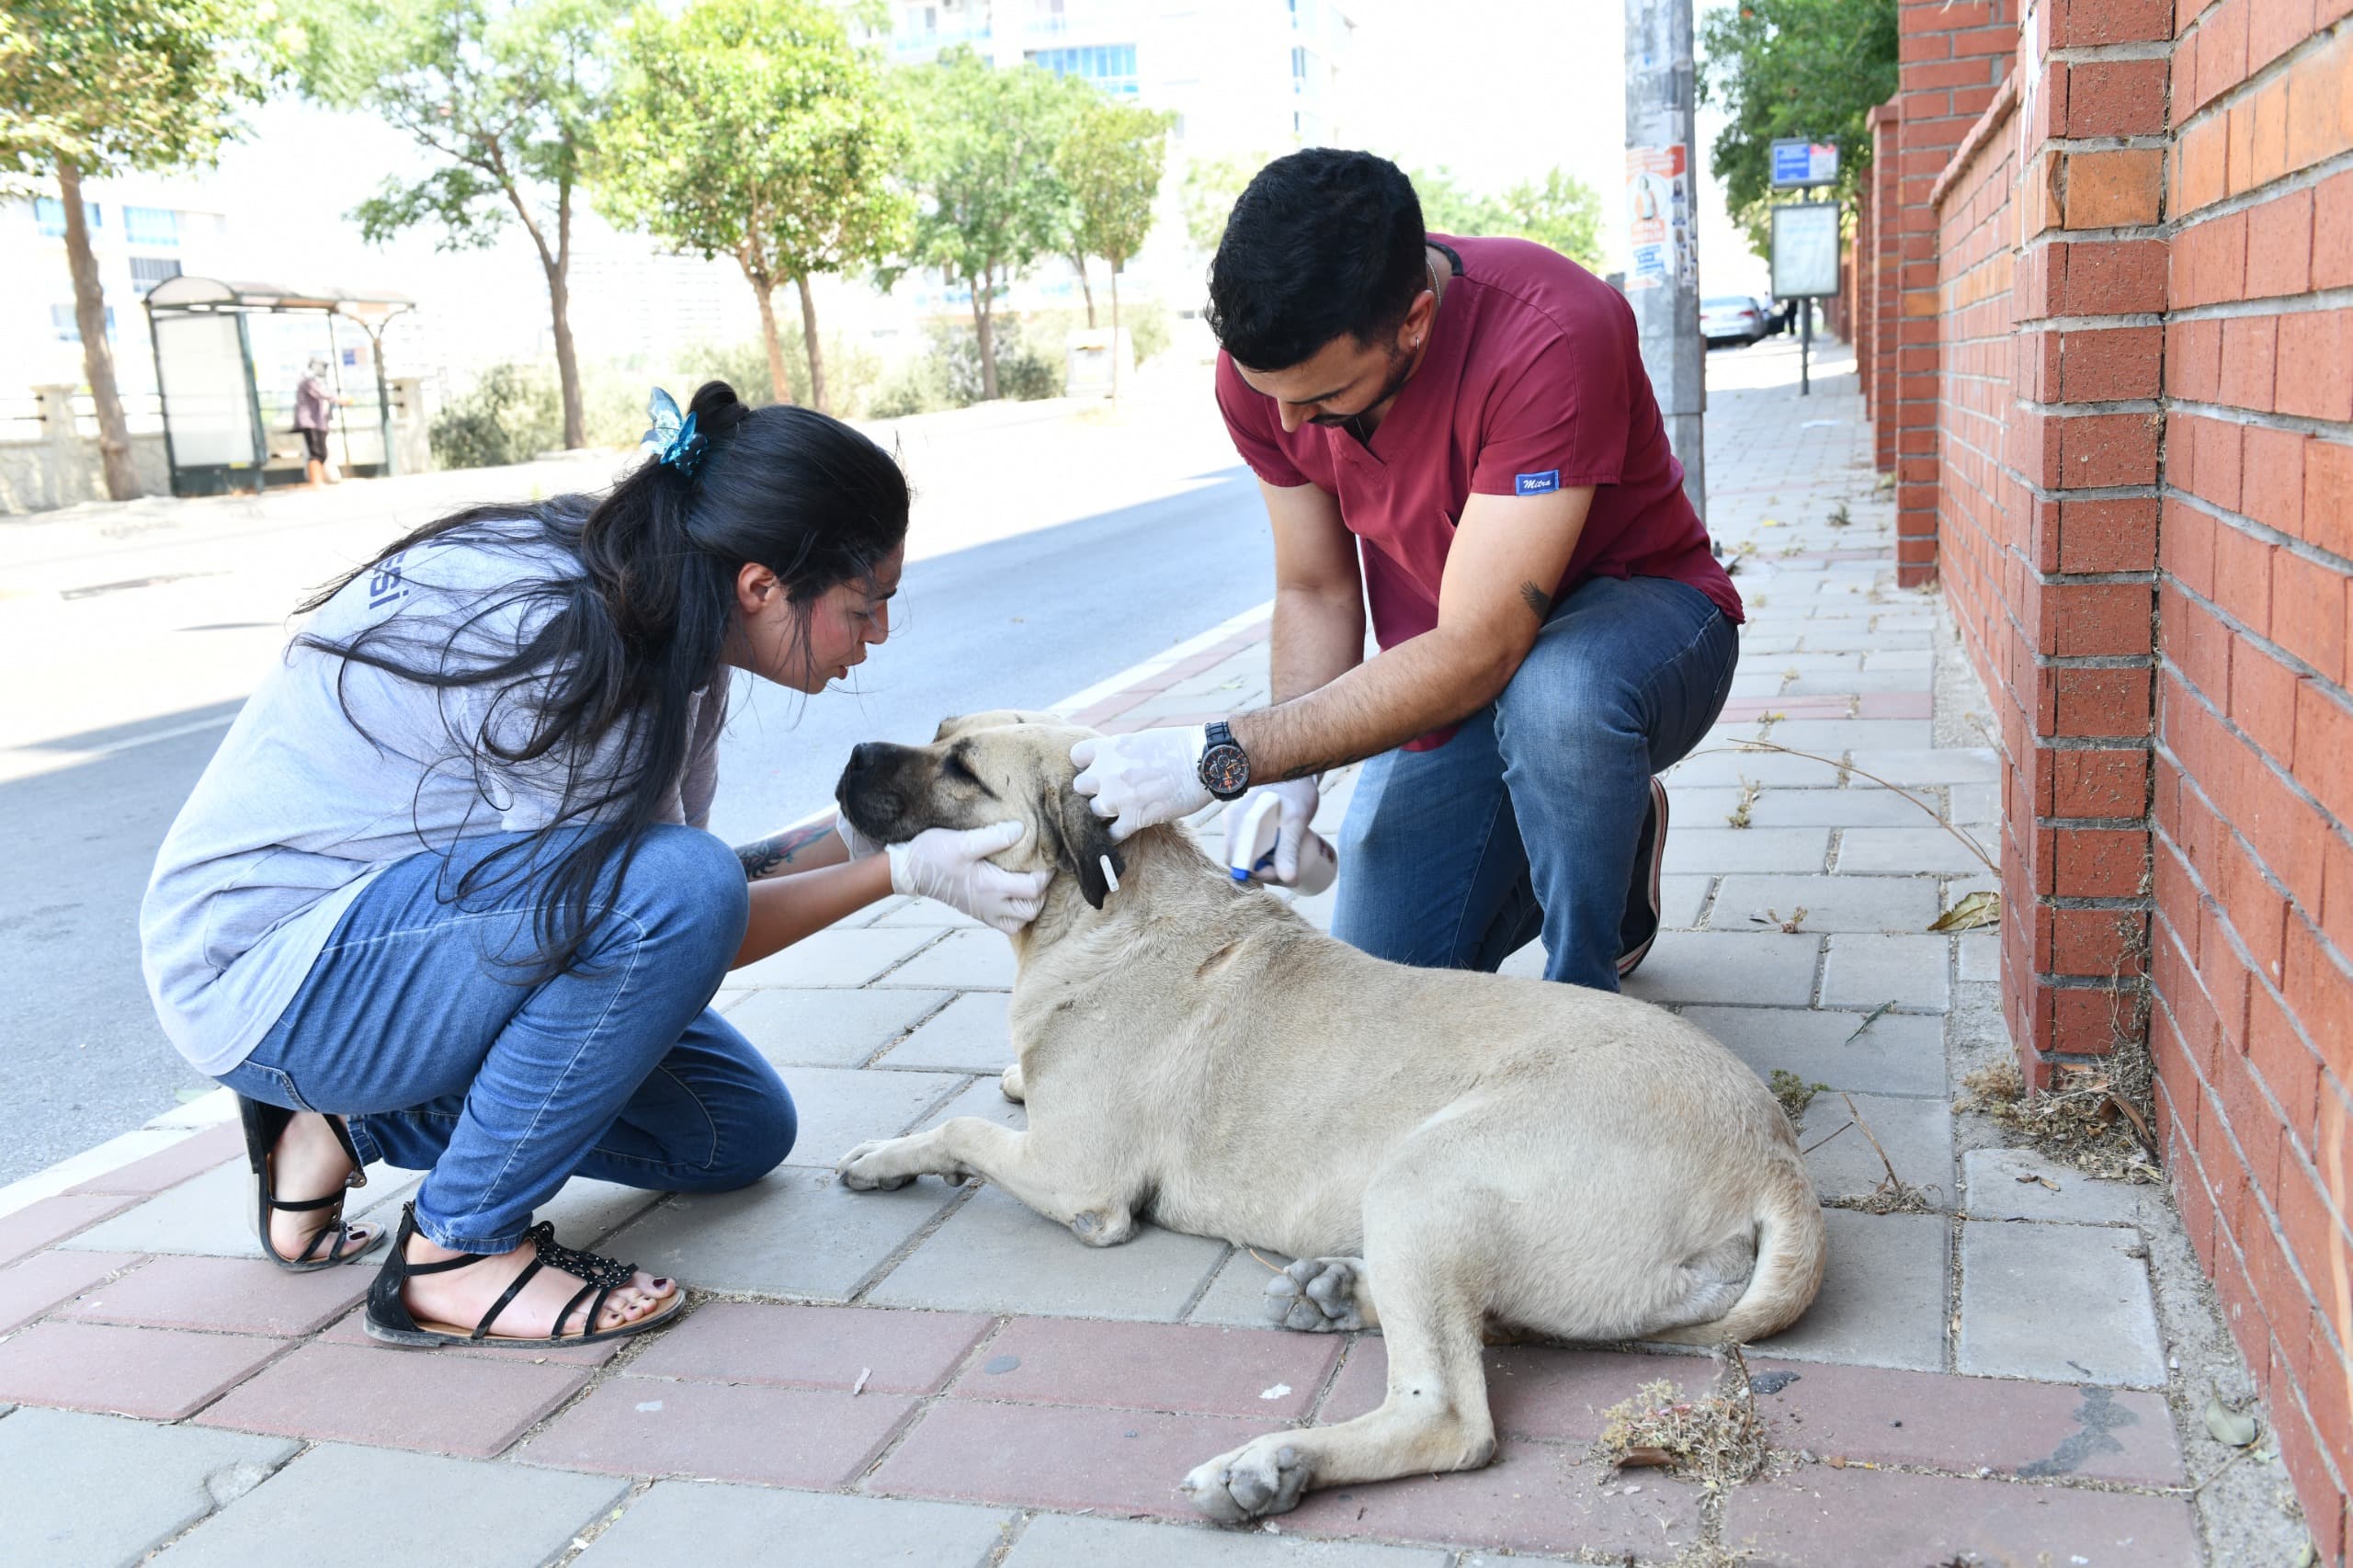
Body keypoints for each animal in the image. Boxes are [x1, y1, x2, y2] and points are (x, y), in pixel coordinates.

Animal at [837, 706, 1825, 1516]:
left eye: (963, 769)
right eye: (939, 731)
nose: (847, 755)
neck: (1111, 908)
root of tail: (1776, 1162)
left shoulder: (1076, 1177)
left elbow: (962, 1129)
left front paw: (887, 1153)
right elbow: (1002, 1094)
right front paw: (1005, 1079)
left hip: (1423, 1176)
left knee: (1448, 1415)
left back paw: (1275, 1463)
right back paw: (1335, 1292)